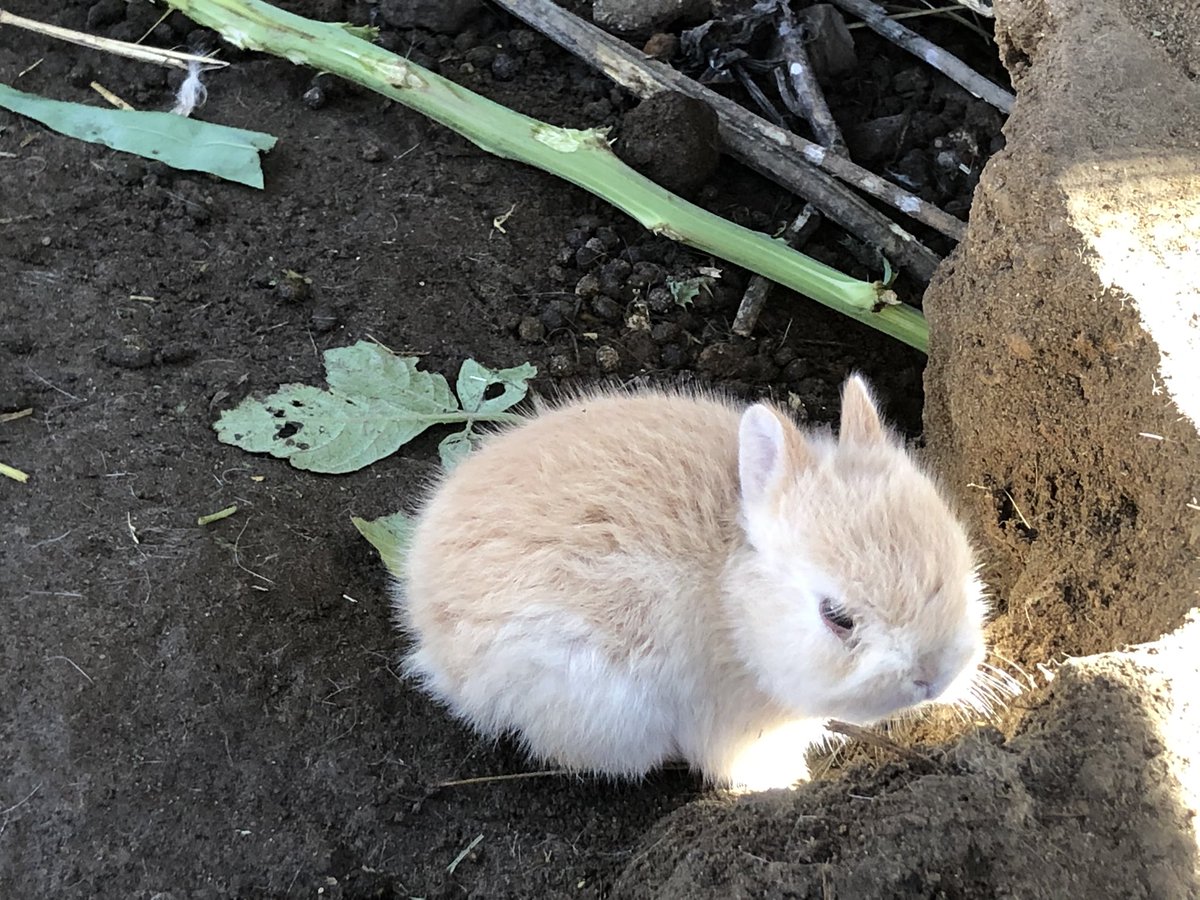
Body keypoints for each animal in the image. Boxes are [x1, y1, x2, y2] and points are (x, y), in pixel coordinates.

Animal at [393, 376, 984, 792]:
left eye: (959, 552)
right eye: (836, 618)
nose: (934, 676)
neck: (735, 606)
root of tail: (426, 621)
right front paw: (789, 783)